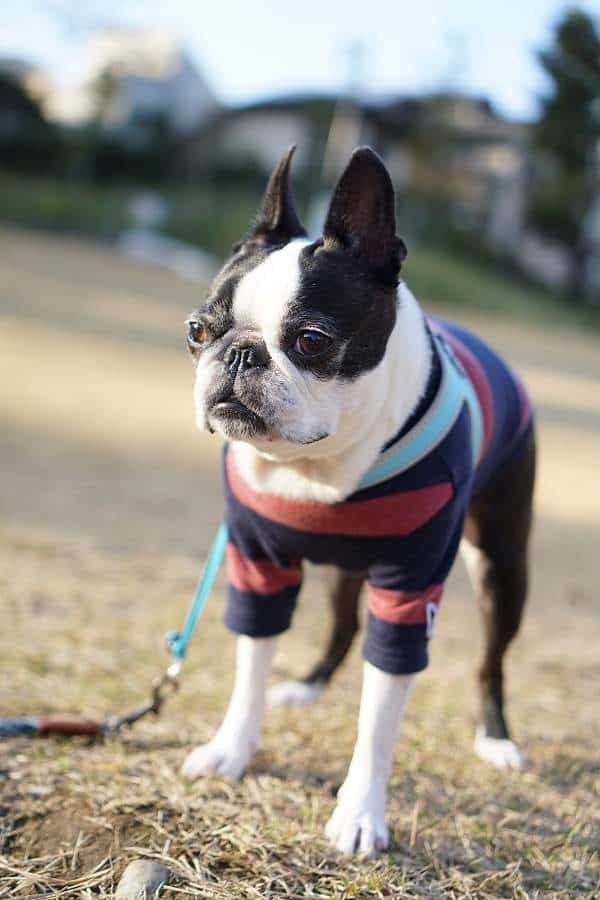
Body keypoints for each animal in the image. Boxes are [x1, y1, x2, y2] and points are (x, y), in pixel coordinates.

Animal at [180, 148, 536, 856]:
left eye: (312, 341)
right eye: (197, 330)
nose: (239, 354)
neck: (316, 469)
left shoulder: (408, 591)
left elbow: (379, 717)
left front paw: (360, 814)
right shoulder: (257, 564)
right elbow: (249, 666)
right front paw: (231, 750)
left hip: (502, 564)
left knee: (490, 661)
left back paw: (497, 738)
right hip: (344, 570)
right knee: (342, 626)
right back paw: (307, 686)